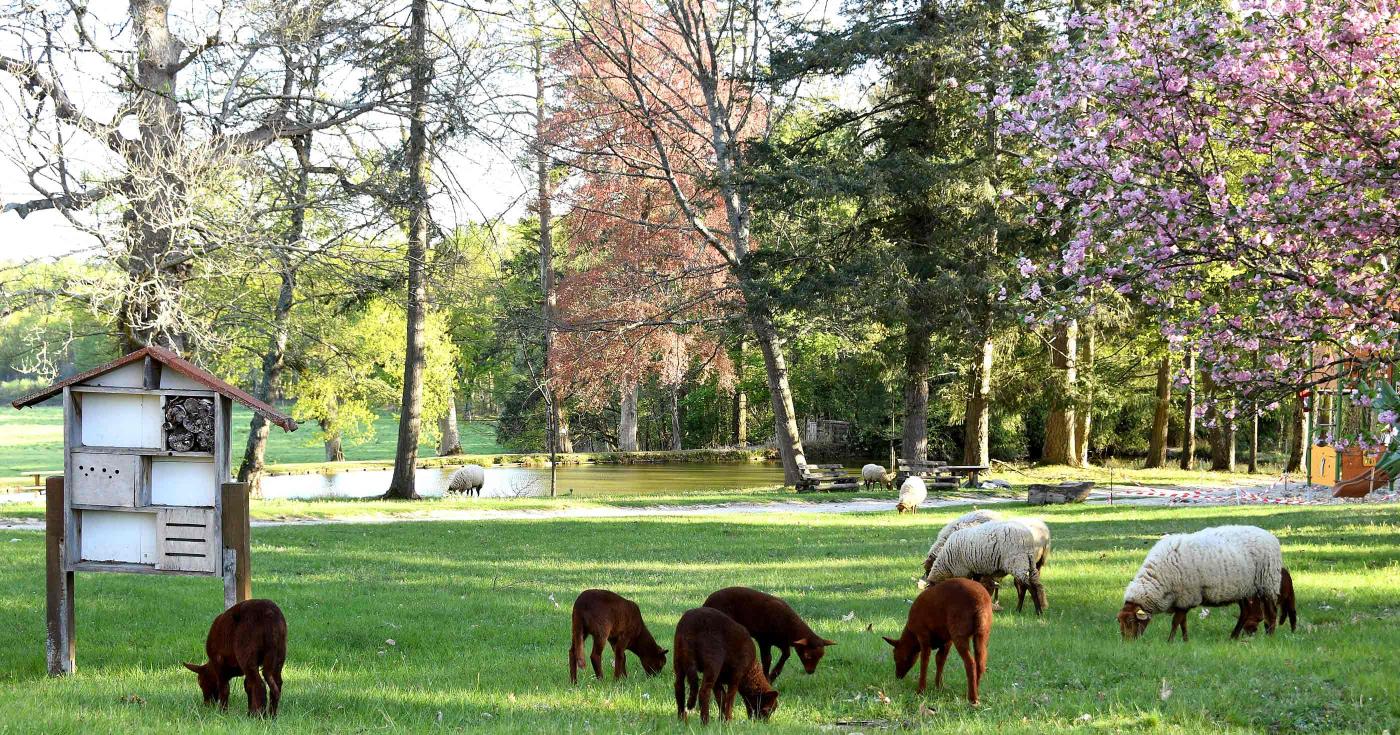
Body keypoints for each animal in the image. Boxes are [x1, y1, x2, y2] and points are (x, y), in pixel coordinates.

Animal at [700, 585, 828, 683]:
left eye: (821, 656)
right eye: (808, 656)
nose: (811, 672)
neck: (790, 627)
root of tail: (706, 603)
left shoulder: (781, 642)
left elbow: (786, 654)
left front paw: (774, 675)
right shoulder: (764, 640)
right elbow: (767, 659)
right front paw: (768, 679)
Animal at [918, 515, 1052, 613]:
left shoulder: (963, 570)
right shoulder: (976, 570)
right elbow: (977, 585)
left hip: (1017, 562)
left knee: (1027, 586)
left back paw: (1036, 611)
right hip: (1029, 563)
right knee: (1030, 585)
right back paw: (1026, 609)